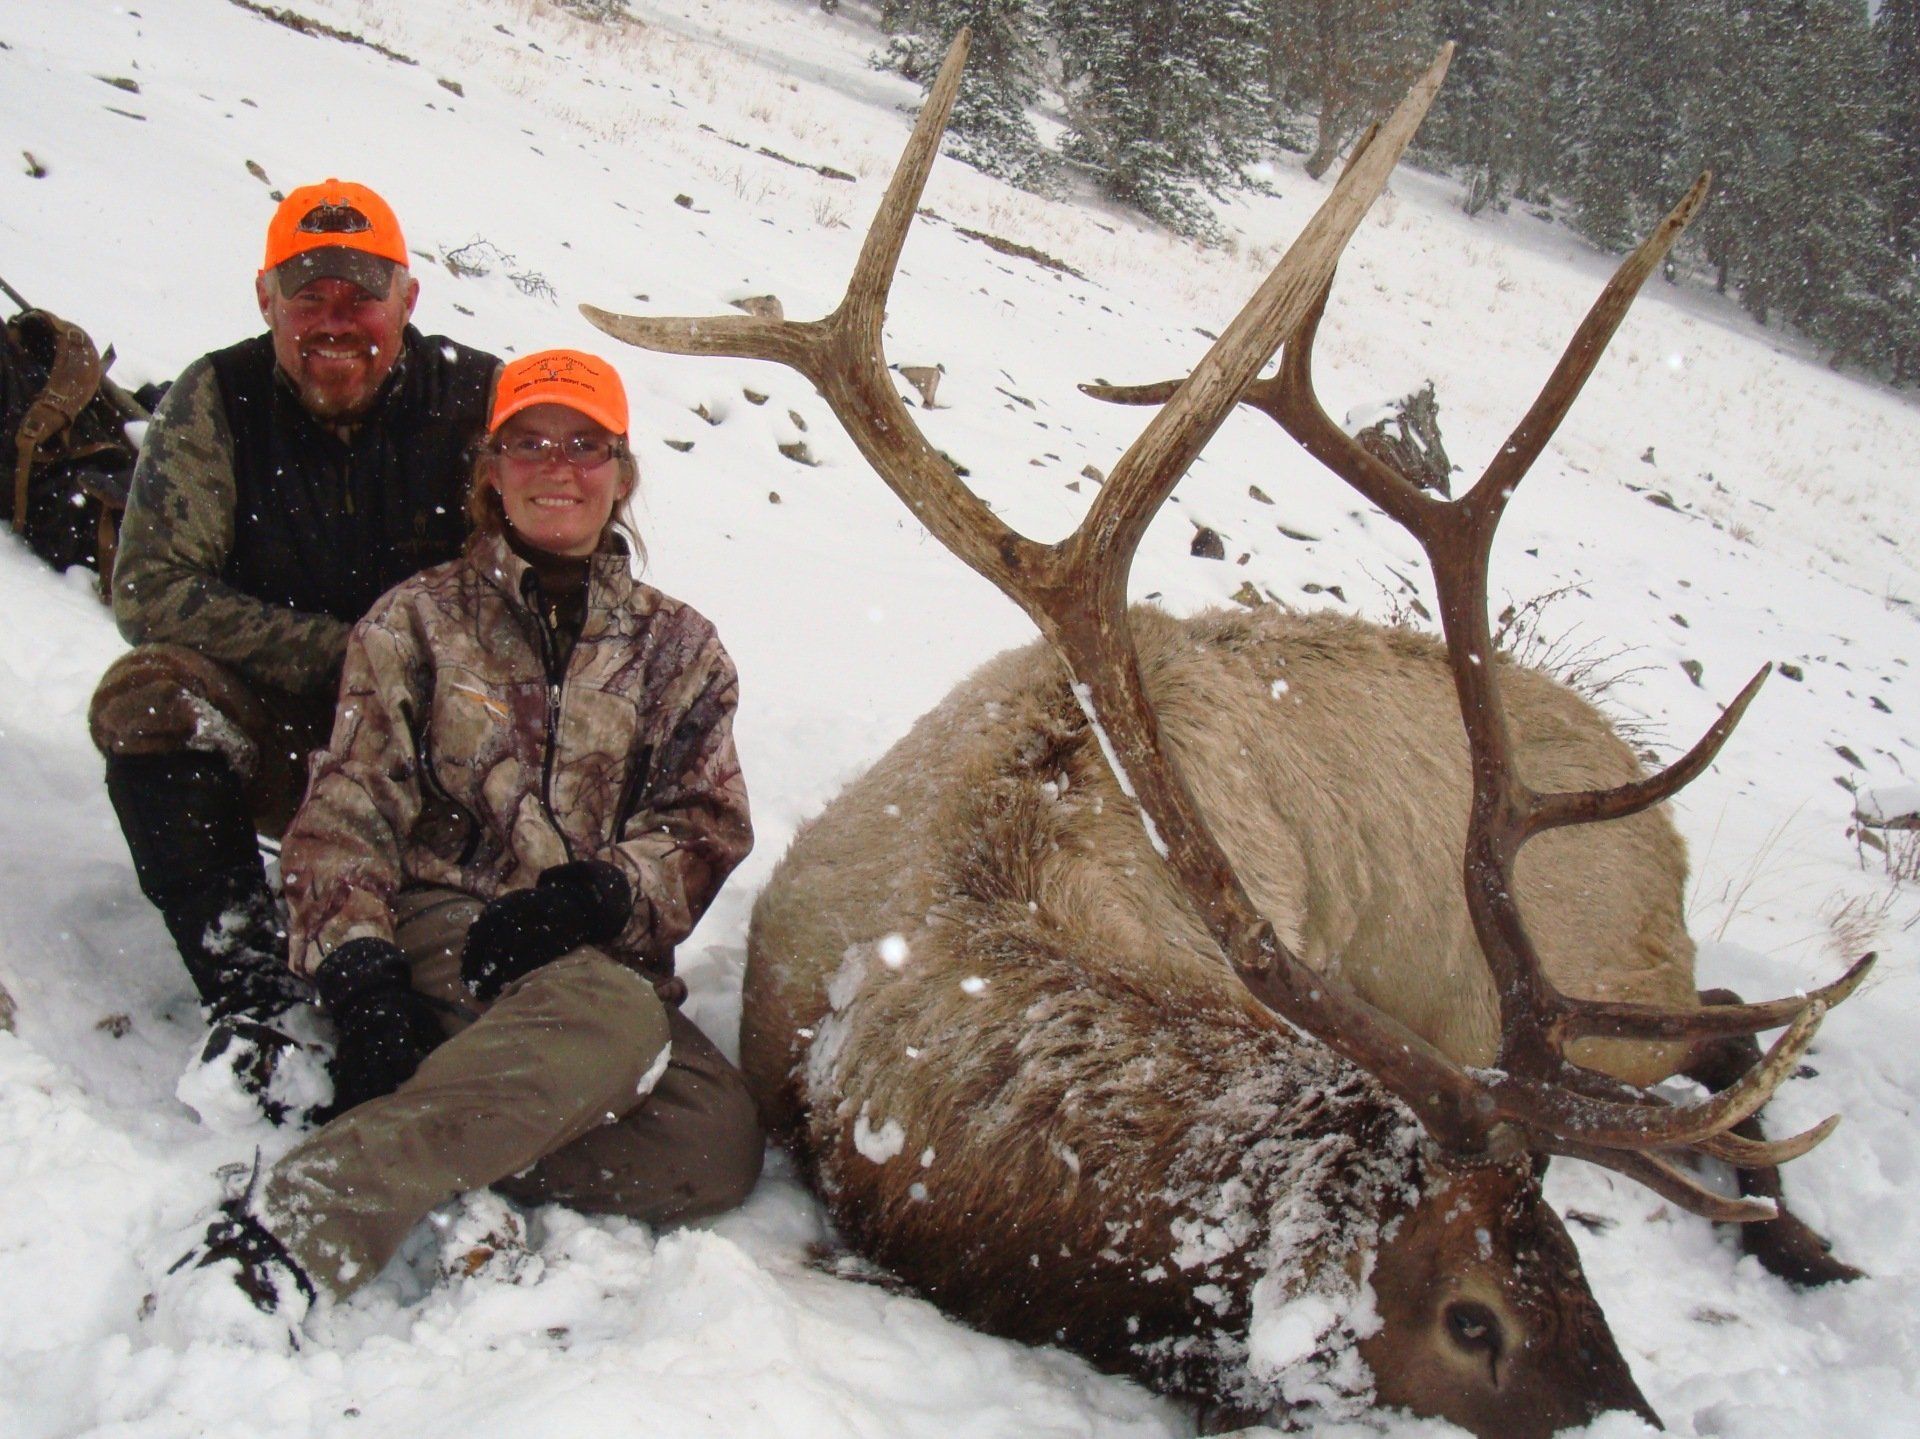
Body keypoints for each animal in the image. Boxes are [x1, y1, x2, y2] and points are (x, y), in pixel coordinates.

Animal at [584, 34, 1872, 1437]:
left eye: (1579, 1269)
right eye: (1478, 1316)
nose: (1634, 1414)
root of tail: (1655, 811)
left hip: (1591, 979)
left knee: (1721, 1023)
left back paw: (1809, 1240)